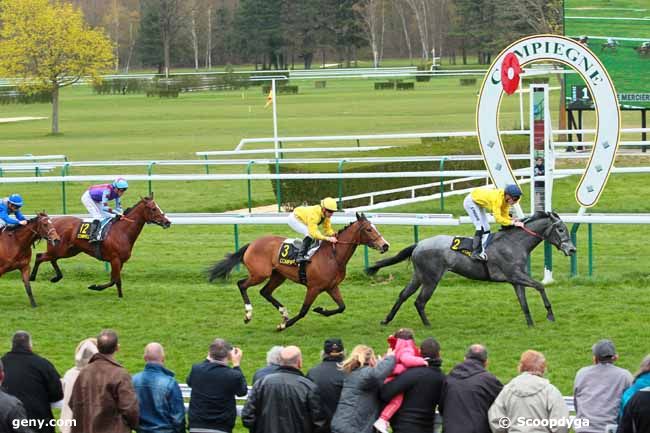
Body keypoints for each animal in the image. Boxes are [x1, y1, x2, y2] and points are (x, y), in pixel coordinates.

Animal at [28, 196, 170, 296]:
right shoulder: (115, 259)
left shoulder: (120, 261)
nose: (167, 222)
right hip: (59, 249)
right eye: (153, 209)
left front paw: (105, 290)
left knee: (51, 259)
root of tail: (53, 221)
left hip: (68, 251)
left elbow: (114, 280)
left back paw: (56, 277)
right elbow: (116, 280)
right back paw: (32, 277)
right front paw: (113, 294)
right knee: (40, 256)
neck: (122, 231)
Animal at [208, 213, 390, 330]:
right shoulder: (314, 288)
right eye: (368, 229)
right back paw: (248, 314)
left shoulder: (332, 287)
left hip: (278, 276)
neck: (333, 256)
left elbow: (341, 307)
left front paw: (320, 310)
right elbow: (303, 311)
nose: (385, 245)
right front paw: (283, 325)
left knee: (265, 292)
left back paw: (283, 313)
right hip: (260, 274)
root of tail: (252, 244)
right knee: (242, 285)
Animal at [368, 211, 576, 326]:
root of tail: (418, 244)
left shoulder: (515, 278)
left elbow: (523, 302)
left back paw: (386, 320)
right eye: (560, 229)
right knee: (419, 301)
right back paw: (427, 325)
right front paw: (550, 315)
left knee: (403, 295)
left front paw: (530, 324)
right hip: (431, 278)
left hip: (419, 276)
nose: (572, 249)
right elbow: (540, 286)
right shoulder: (515, 274)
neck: (514, 243)